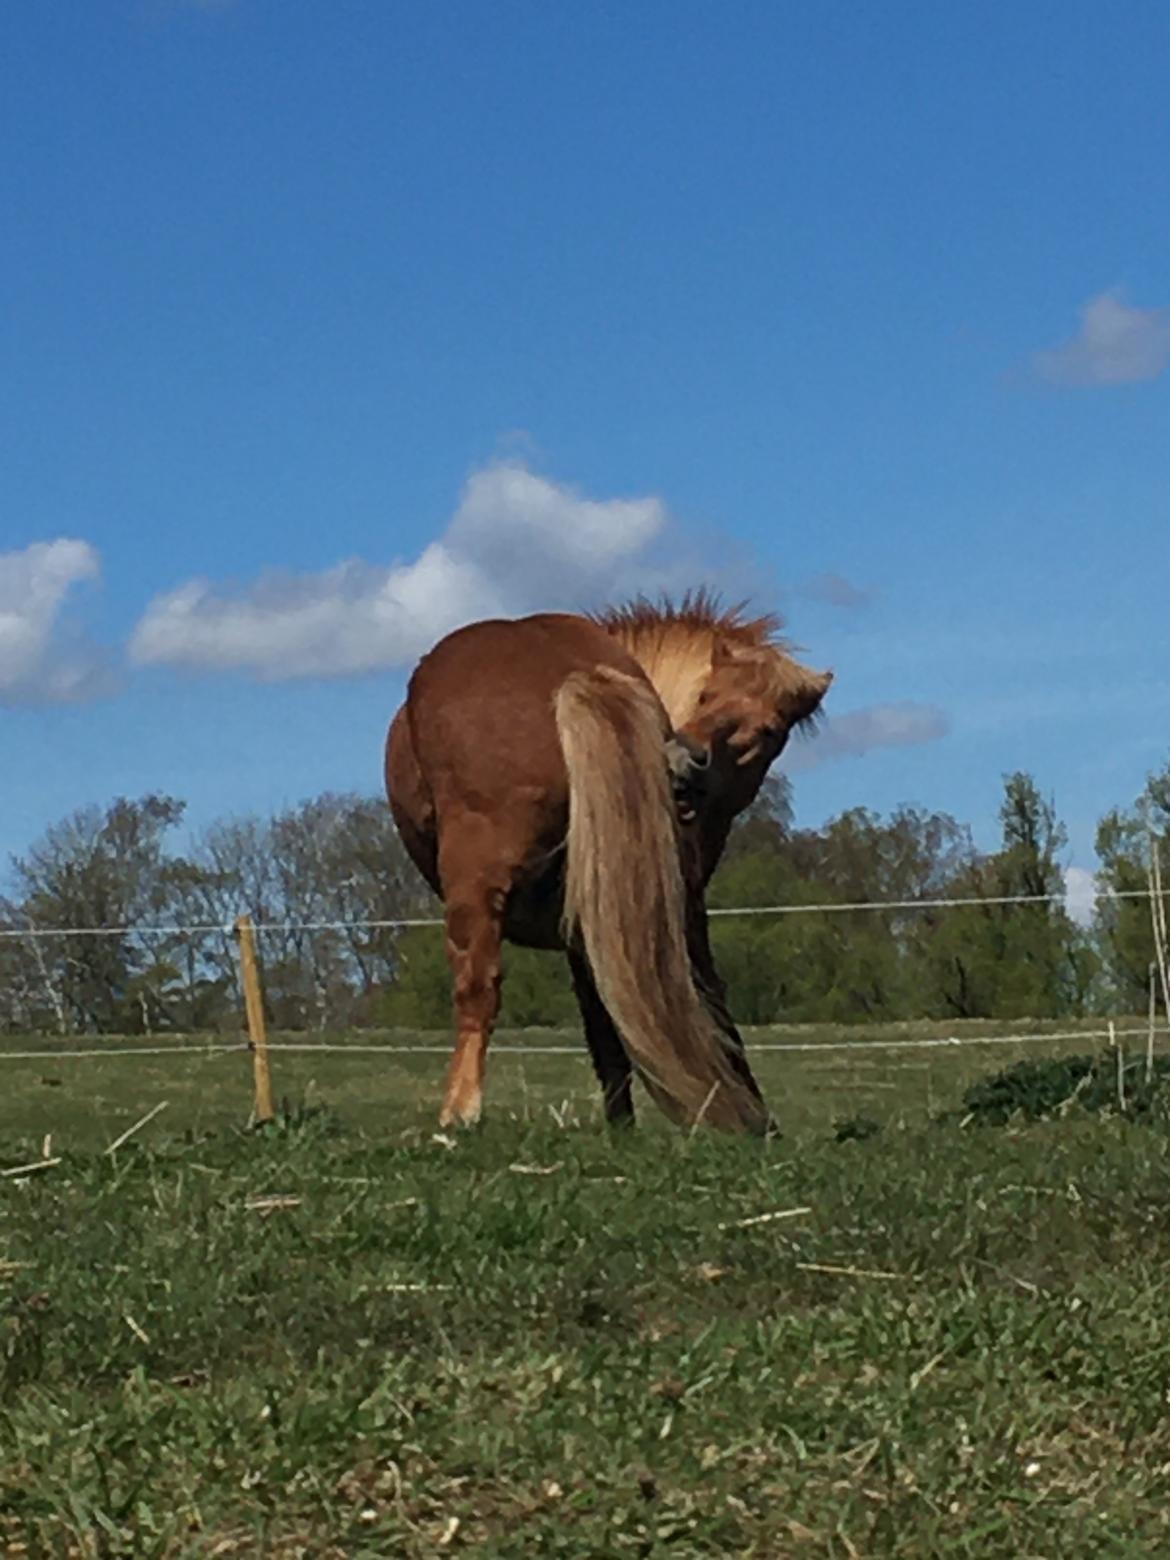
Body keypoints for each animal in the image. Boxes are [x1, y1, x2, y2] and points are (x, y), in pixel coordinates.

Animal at [386, 592, 836, 1135]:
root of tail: (575, 673)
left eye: (769, 731)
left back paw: (459, 1112)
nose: (686, 761)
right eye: (705, 696)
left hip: (477, 888)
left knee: (478, 989)